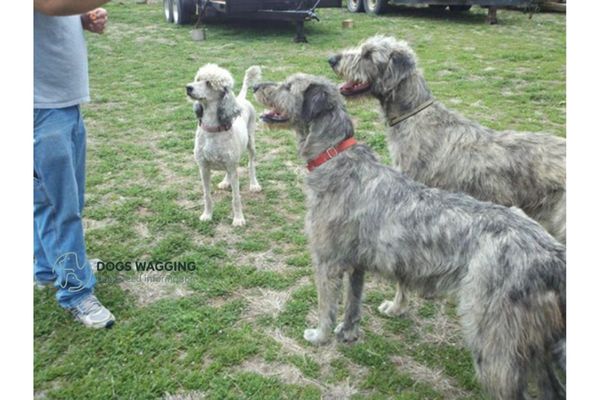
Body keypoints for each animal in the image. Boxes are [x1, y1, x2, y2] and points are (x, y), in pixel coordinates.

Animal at [186, 64, 262, 227]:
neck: (212, 130)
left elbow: (236, 197)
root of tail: (240, 99)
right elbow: (207, 195)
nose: (188, 87)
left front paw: (238, 219)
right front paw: (207, 215)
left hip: (251, 144)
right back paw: (225, 182)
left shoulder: (233, 168)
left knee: (251, 164)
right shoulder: (203, 167)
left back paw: (254, 184)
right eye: (198, 79)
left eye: (209, 83)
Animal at [253, 73, 568, 398]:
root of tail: (551, 256)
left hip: (495, 341)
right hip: (535, 343)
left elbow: (326, 307)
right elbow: (353, 303)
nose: (255, 86)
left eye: (288, 86)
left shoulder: (327, 263)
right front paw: (348, 333)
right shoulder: (356, 265)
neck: (335, 156)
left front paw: (319, 336)